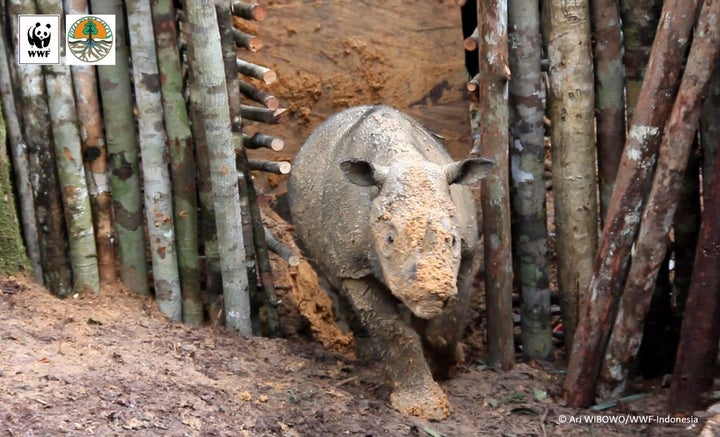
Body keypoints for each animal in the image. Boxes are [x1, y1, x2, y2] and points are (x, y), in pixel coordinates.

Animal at [286, 105, 496, 418]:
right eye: (389, 240)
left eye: (452, 240)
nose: (429, 295)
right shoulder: (354, 266)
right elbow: (391, 329)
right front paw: (424, 406)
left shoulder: (468, 252)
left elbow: (447, 323)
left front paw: (445, 366)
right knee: (332, 276)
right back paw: (362, 348)